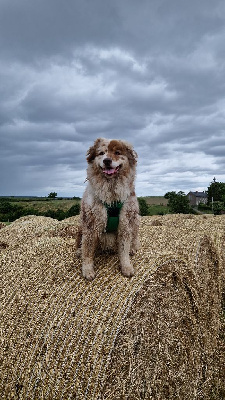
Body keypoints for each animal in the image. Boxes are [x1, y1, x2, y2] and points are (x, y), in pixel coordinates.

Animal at [77, 138, 141, 282]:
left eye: (117, 152)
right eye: (101, 153)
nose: (107, 161)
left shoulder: (125, 224)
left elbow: (124, 250)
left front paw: (126, 266)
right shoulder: (90, 225)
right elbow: (87, 251)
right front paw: (87, 270)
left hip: (135, 220)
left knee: (134, 237)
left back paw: (133, 248)